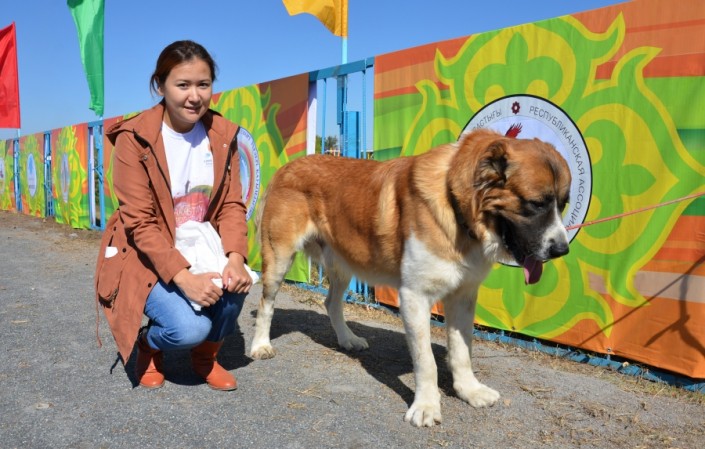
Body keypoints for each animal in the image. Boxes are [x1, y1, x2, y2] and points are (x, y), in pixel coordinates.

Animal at [250, 128, 571, 427]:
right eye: (536, 204)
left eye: (563, 204)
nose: (562, 250)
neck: (456, 206)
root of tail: (287, 167)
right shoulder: (414, 297)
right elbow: (426, 361)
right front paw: (426, 406)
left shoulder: (463, 297)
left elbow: (462, 350)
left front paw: (469, 391)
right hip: (279, 258)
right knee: (266, 303)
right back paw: (260, 346)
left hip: (343, 263)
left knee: (331, 303)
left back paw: (347, 339)